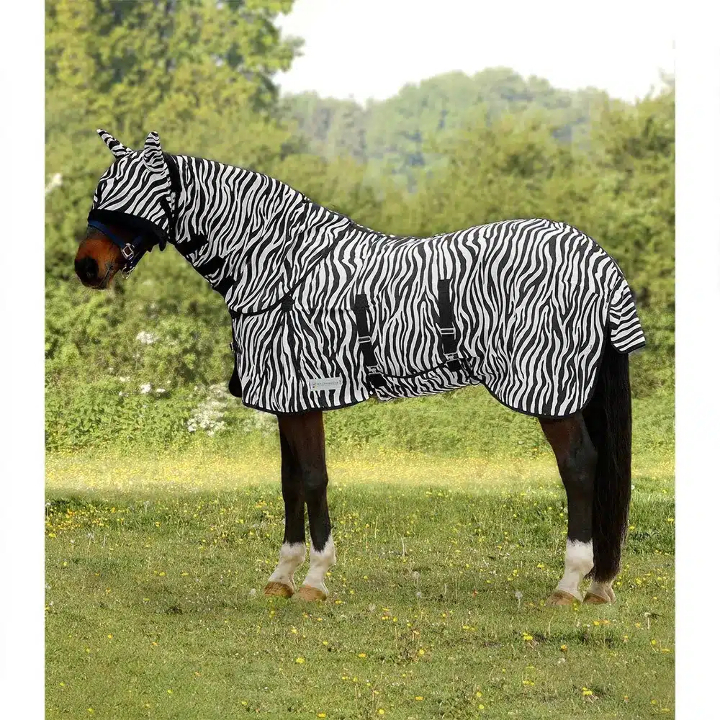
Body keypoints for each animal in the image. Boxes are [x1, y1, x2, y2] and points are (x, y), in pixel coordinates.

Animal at [75, 129, 645, 605]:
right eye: (103, 187)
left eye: (141, 193)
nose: (87, 266)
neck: (281, 268)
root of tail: (597, 259)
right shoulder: (287, 401)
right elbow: (289, 481)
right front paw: (281, 576)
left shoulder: (303, 395)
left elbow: (312, 478)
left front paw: (314, 579)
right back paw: (598, 585)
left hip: (552, 392)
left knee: (580, 468)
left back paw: (570, 584)